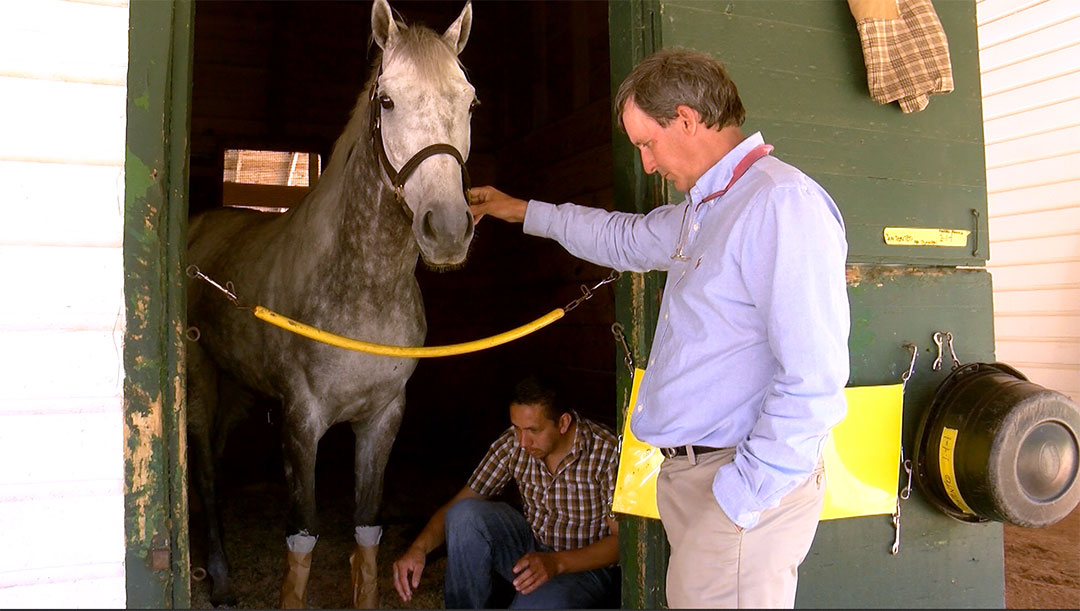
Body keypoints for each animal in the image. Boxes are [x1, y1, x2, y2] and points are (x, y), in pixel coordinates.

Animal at [185, 0, 477, 604]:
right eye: (386, 100)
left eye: (469, 101)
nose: (447, 229)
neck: (363, 292)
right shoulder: (301, 421)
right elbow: (302, 541)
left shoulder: (383, 419)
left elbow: (366, 535)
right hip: (201, 382)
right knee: (205, 475)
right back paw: (219, 578)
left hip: (238, 389)